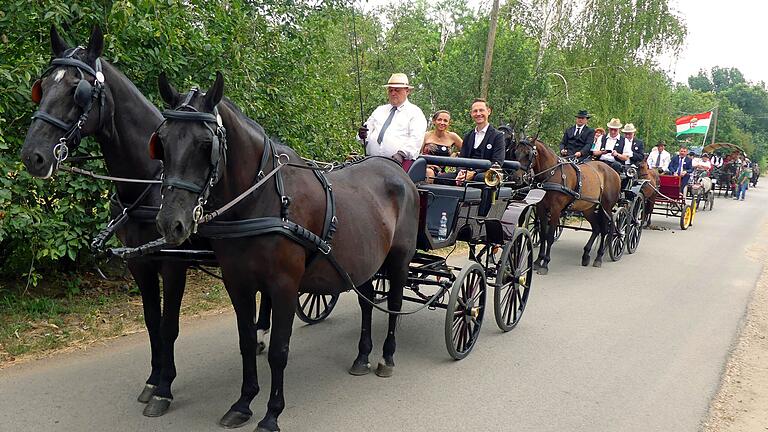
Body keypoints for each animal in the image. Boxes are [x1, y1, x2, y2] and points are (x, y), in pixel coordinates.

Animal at [21, 27, 198, 418]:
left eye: (78, 89)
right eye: (43, 84)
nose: (32, 157)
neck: (148, 184)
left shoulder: (174, 264)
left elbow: (169, 326)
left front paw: (165, 388)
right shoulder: (139, 264)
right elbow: (151, 322)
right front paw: (153, 379)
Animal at [510, 138, 624, 274]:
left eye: (528, 154)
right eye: (515, 153)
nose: (516, 178)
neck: (552, 174)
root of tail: (614, 172)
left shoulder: (555, 210)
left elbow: (549, 237)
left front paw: (545, 264)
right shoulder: (541, 208)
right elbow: (543, 235)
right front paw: (537, 261)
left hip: (606, 208)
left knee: (606, 229)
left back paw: (599, 257)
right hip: (588, 208)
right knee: (596, 228)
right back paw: (586, 255)